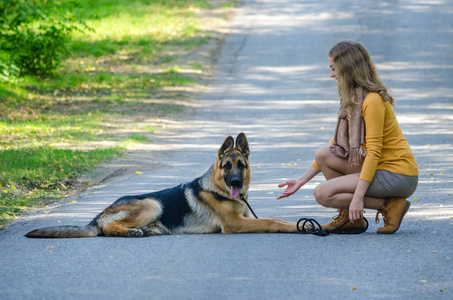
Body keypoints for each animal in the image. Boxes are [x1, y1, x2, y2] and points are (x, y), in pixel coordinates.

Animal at [26, 132, 298, 238]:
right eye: (226, 166)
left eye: (241, 165)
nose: (235, 182)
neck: (220, 189)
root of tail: (99, 214)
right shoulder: (235, 224)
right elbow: (271, 221)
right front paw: (293, 226)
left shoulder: (243, 217)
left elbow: (276, 218)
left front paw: (295, 223)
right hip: (152, 204)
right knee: (108, 227)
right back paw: (131, 231)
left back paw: (140, 231)